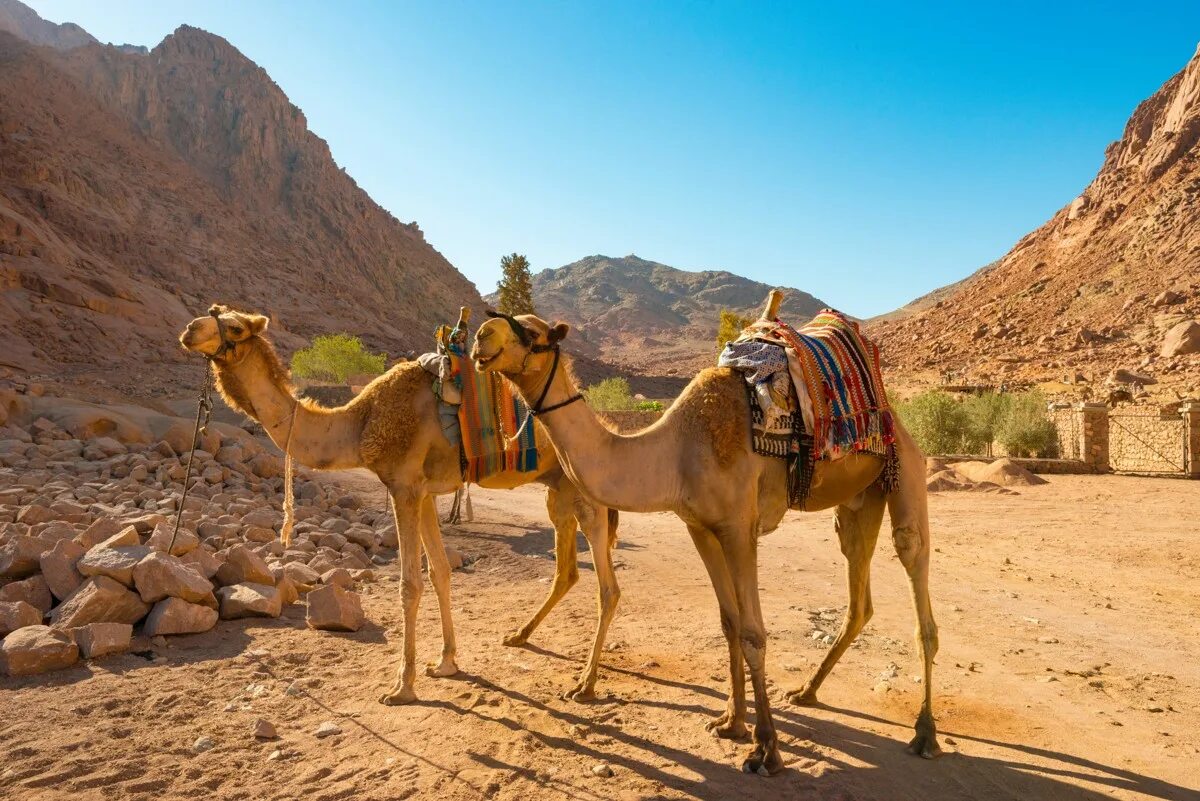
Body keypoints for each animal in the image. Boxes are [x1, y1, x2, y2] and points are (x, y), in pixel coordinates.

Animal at [184, 303, 628, 705]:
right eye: (213, 311)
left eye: (236, 327)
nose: (190, 329)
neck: (358, 422)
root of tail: (605, 429)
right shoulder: (425, 491)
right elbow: (441, 573)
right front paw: (446, 662)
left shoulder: (403, 486)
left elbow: (409, 584)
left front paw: (402, 686)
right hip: (559, 491)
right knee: (567, 571)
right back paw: (520, 635)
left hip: (586, 496)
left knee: (608, 587)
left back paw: (586, 685)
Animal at [472, 296, 940, 777]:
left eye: (533, 334)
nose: (481, 337)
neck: (675, 452)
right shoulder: (699, 527)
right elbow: (729, 623)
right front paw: (731, 723)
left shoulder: (738, 528)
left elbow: (753, 632)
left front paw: (766, 749)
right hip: (858, 501)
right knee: (857, 591)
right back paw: (806, 691)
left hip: (905, 468)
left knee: (916, 575)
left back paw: (924, 734)